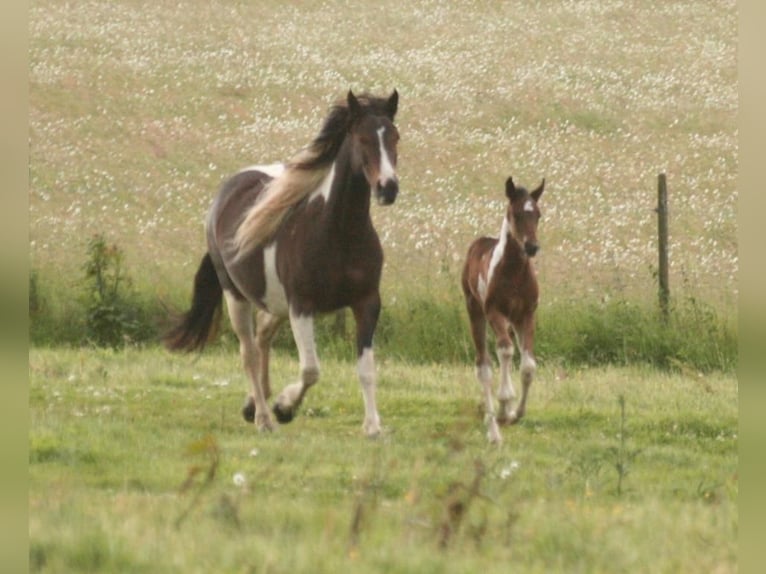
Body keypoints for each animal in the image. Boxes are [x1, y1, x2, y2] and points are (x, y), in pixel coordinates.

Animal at [164, 89, 400, 438]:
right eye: (362, 138)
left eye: (395, 137)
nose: (388, 188)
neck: (339, 233)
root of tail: (226, 191)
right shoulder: (301, 305)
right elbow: (311, 369)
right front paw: (284, 407)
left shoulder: (367, 302)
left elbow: (366, 369)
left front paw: (372, 427)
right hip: (237, 295)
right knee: (248, 351)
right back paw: (263, 417)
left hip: (274, 301)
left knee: (262, 336)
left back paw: (253, 404)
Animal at [461, 175, 545, 444]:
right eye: (516, 214)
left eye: (538, 214)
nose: (532, 247)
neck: (515, 272)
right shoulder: (494, 313)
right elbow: (506, 351)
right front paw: (505, 402)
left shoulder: (526, 314)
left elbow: (528, 366)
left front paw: (516, 413)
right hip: (475, 310)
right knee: (484, 365)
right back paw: (493, 428)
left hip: (510, 320)